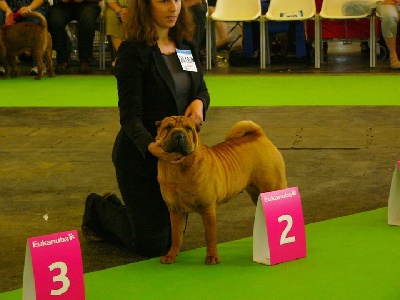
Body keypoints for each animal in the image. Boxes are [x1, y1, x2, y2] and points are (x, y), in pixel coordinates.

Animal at [156, 116, 288, 264]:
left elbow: (210, 236)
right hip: (256, 193)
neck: (178, 169)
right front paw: (171, 256)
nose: (179, 134)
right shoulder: (176, 211)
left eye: (188, 128)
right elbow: (176, 236)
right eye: (168, 127)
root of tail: (259, 135)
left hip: (274, 186)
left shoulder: (207, 209)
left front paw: (212, 257)